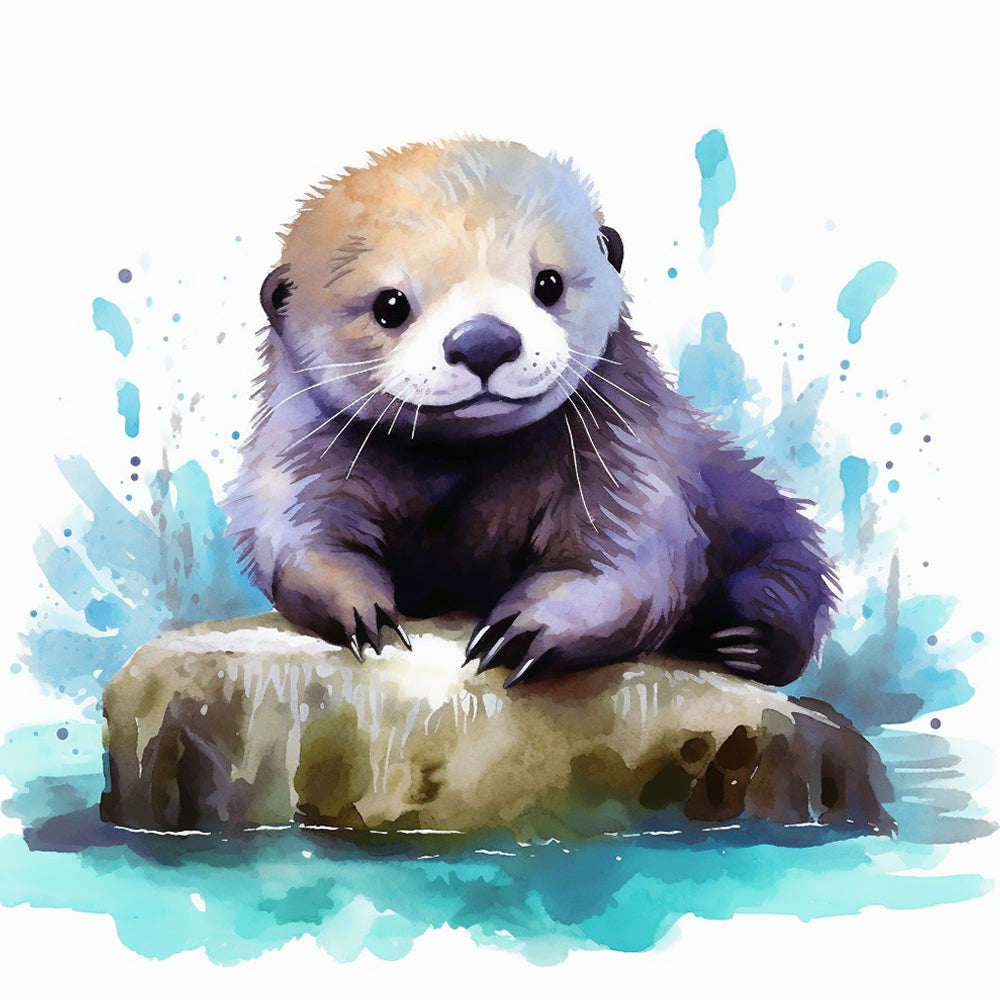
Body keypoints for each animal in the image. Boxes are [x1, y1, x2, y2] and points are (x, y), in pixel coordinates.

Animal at [225, 139, 836, 688]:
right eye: (390, 305)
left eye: (549, 283)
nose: (484, 341)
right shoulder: (304, 452)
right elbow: (301, 540)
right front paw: (362, 611)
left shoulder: (623, 452)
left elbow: (625, 563)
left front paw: (522, 631)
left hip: (764, 520)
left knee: (789, 582)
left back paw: (745, 642)